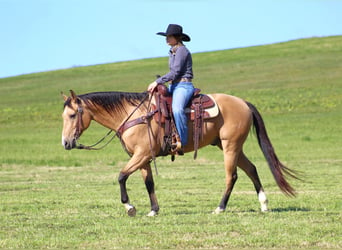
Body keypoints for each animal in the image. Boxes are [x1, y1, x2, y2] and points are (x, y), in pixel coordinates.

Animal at [61, 89, 296, 216]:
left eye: (72, 115)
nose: (65, 142)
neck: (132, 115)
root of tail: (243, 103)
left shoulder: (141, 155)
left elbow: (121, 176)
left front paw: (130, 207)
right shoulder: (143, 158)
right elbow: (149, 183)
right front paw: (153, 210)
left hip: (230, 146)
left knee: (232, 175)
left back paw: (220, 208)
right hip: (229, 146)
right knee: (251, 169)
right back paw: (264, 205)